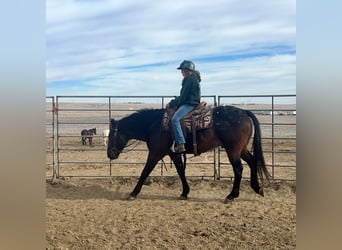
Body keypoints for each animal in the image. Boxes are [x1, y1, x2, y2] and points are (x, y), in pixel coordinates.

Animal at [107, 105, 270, 203]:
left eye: (110, 136)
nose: (110, 154)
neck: (154, 125)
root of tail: (244, 112)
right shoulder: (173, 153)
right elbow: (180, 171)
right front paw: (185, 192)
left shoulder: (155, 153)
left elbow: (145, 171)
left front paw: (133, 193)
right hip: (241, 149)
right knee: (253, 162)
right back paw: (257, 188)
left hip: (233, 150)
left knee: (238, 169)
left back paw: (231, 195)